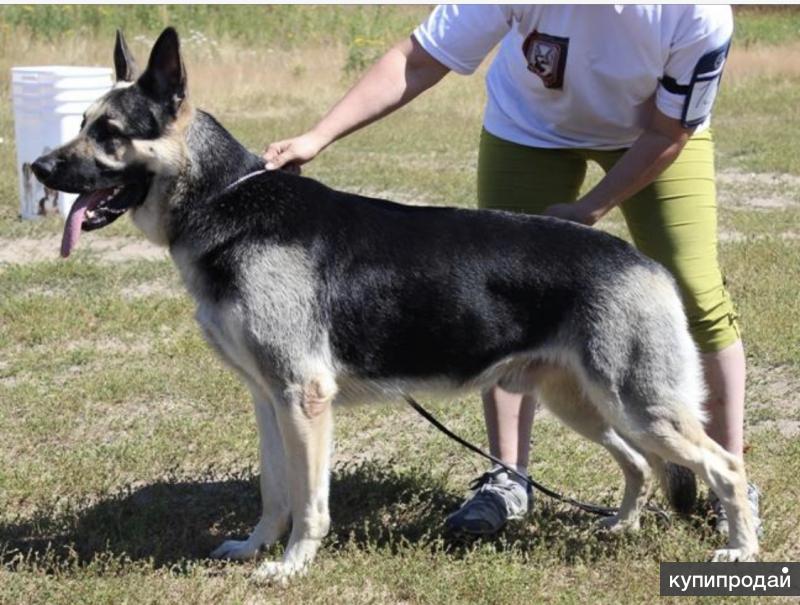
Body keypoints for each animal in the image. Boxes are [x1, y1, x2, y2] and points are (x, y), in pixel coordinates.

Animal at [29, 28, 756, 580]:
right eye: (82, 125)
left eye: (111, 132)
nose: (38, 168)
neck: (225, 201)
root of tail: (648, 265)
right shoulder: (267, 400)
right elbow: (273, 491)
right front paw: (255, 547)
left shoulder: (303, 400)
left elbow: (309, 499)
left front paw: (291, 566)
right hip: (583, 403)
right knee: (639, 462)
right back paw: (622, 524)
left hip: (638, 405)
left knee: (724, 464)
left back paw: (740, 548)